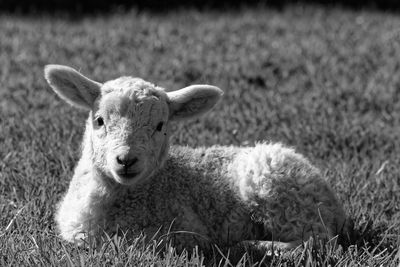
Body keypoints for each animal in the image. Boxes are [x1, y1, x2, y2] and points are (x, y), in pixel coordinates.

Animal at [43, 65, 346, 253]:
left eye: (161, 126)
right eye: (99, 120)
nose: (126, 160)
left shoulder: (187, 231)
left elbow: (137, 241)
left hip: (281, 194)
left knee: (318, 241)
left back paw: (255, 246)